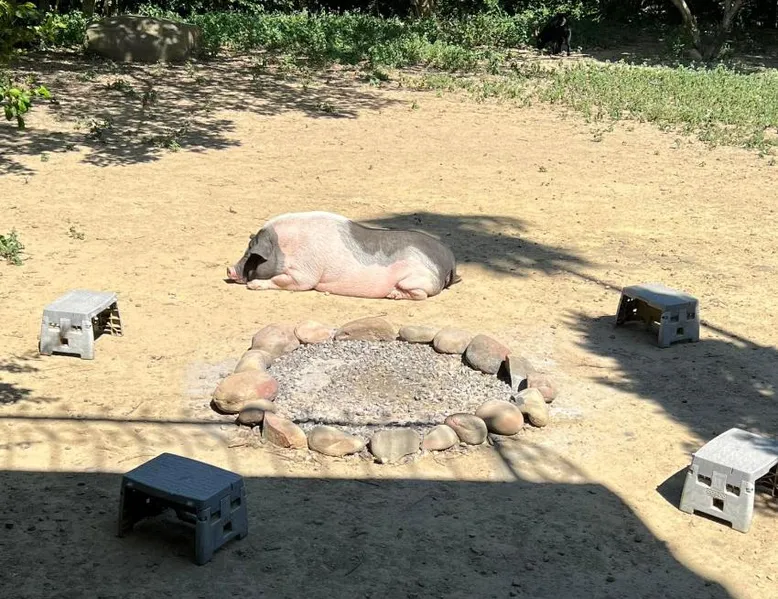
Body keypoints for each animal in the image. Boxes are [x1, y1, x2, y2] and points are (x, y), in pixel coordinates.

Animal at [226, 211, 461, 300]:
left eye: (251, 254)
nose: (228, 269)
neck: (285, 247)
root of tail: (449, 261)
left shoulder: (305, 275)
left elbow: (283, 281)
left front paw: (253, 285)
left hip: (417, 279)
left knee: (421, 295)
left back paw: (393, 295)